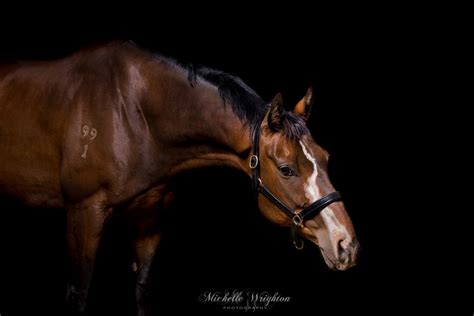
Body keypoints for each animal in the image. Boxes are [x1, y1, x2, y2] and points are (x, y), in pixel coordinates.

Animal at [0, 40, 360, 314]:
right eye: (287, 169)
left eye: (326, 158)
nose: (346, 244)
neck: (132, 116)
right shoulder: (83, 213)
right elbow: (79, 293)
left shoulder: (149, 219)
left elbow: (142, 289)